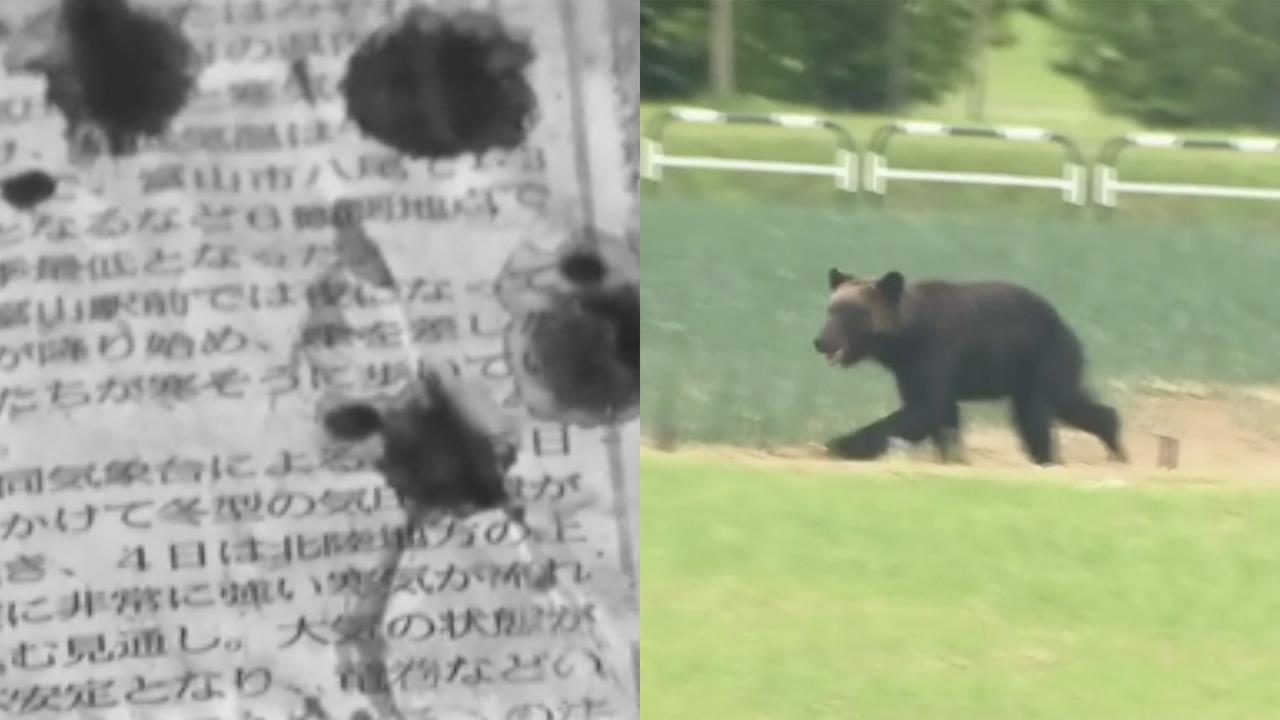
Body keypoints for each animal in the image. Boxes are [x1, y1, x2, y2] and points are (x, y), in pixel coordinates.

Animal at [812, 267, 1127, 466]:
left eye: (852, 312)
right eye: (831, 309)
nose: (821, 341)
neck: (905, 340)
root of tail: (1066, 324)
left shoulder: (937, 350)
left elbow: (923, 409)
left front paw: (837, 443)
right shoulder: (909, 370)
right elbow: (940, 415)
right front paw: (953, 455)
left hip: (1043, 356)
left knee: (1049, 408)